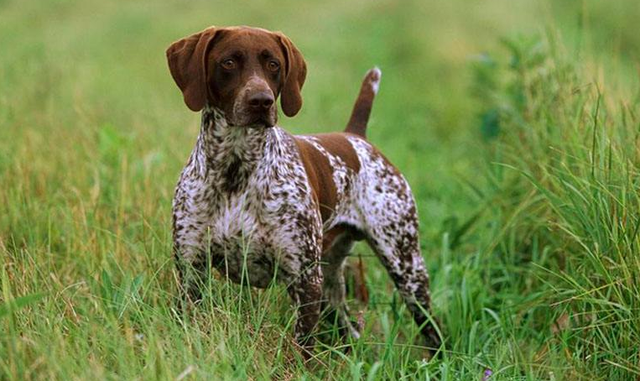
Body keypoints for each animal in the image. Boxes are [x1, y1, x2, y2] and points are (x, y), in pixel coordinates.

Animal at [168, 25, 442, 354]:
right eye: (228, 62)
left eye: (273, 64)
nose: (261, 101)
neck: (235, 168)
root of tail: (355, 136)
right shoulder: (191, 269)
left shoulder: (304, 277)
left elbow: (303, 349)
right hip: (333, 282)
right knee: (349, 327)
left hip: (406, 266)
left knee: (432, 328)